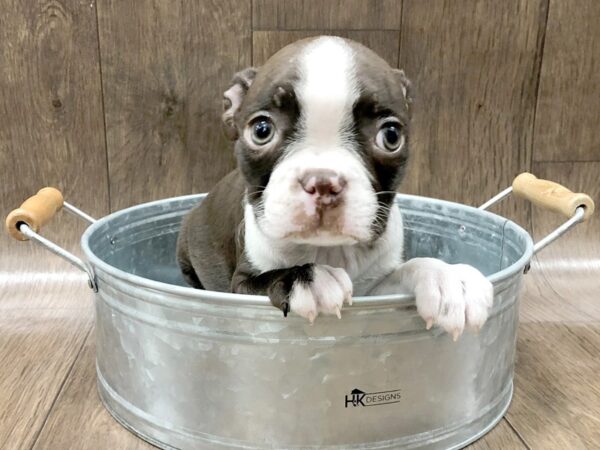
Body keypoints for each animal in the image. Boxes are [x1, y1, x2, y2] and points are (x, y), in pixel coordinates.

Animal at [177, 36, 492, 342]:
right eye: (261, 130)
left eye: (391, 136)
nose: (323, 181)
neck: (327, 249)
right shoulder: (240, 283)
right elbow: (267, 277)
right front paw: (304, 277)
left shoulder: (374, 290)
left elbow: (409, 268)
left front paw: (448, 277)